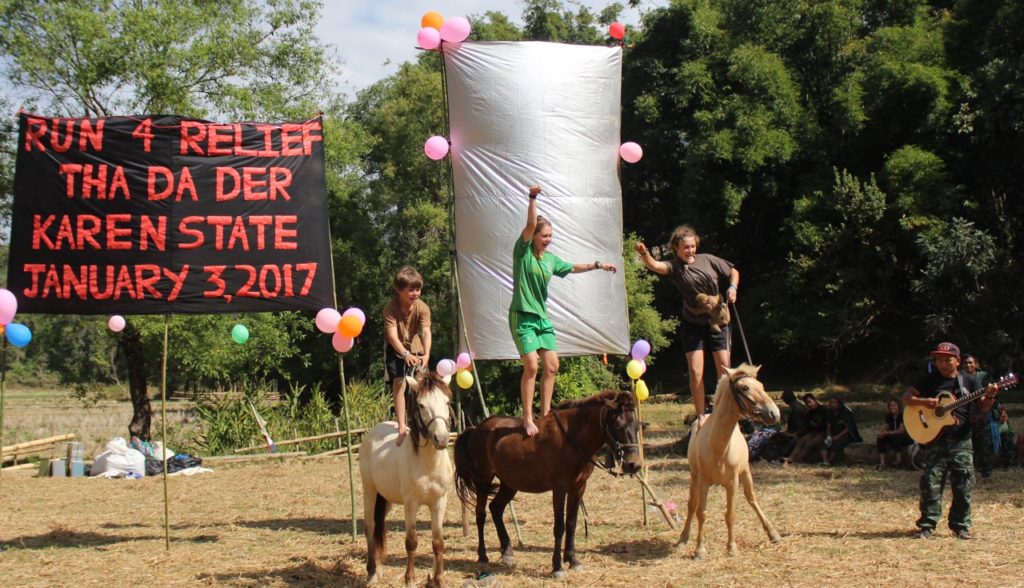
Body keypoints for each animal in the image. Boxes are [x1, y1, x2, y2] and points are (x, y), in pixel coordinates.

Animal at [362, 372, 454, 588]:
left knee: (378, 526)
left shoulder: (439, 502)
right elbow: (411, 541)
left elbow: (438, 542)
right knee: (370, 527)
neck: (429, 465)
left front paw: (439, 579)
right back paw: (371, 573)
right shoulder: (410, 504)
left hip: (385, 499)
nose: (441, 438)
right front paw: (410, 578)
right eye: (421, 405)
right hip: (369, 491)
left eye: (447, 402)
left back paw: (378, 569)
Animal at [456, 391, 638, 581]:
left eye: (637, 426)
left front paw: (573, 560)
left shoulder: (578, 487)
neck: (572, 439)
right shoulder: (559, 488)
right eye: (619, 426)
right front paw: (557, 567)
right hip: (483, 481)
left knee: (496, 509)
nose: (634, 464)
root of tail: (476, 429)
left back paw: (507, 552)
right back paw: (483, 555)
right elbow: (559, 527)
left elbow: (571, 524)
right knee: (481, 514)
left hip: (509, 483)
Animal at [679, 364, 782, 561]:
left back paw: (773, 534)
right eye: (745, 387)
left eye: (761, 385)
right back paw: (683, 538)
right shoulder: (703, 480)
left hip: (746, 474)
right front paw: (699, 550)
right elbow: (701, 513)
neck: (719, 445)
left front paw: (731, 548)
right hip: (694, 477)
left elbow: (731, 514)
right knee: (692, 504)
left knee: (752, 499)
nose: (774, 413)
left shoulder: (733, 482)